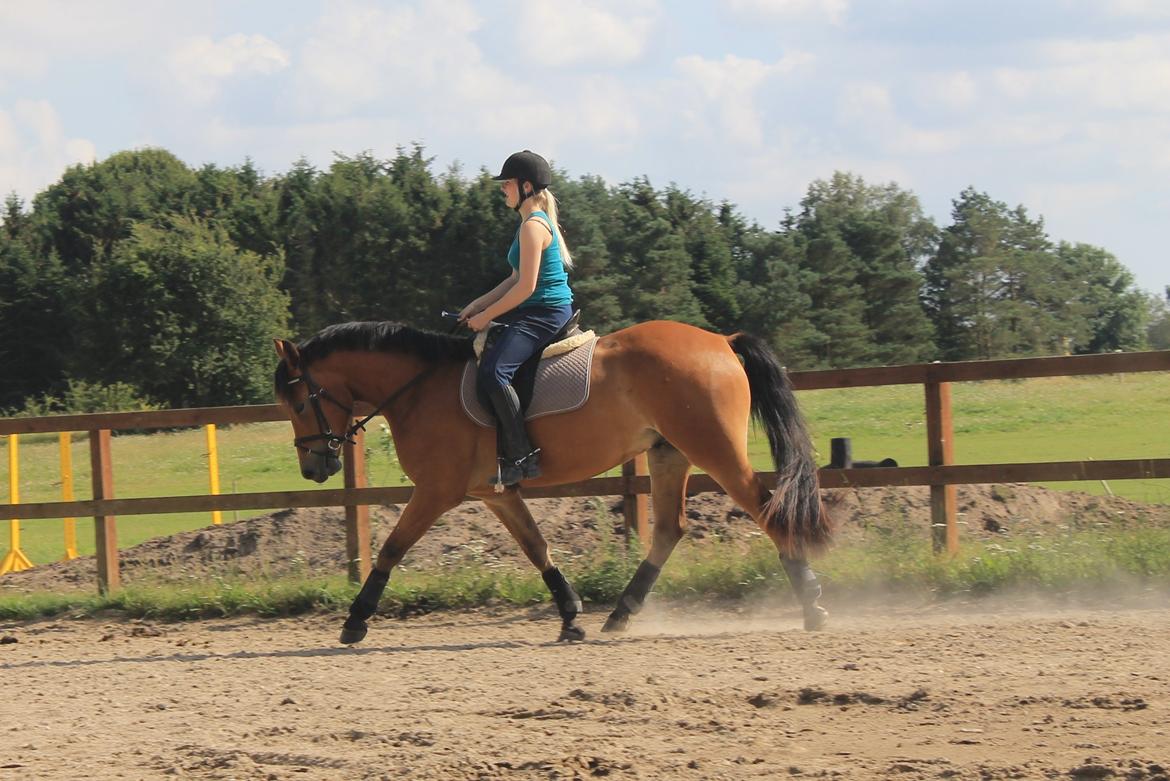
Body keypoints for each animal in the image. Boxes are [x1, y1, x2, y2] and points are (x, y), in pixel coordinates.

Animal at [271, 320, 833, 645]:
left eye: (297, 403)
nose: (313, 468)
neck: (419, 389)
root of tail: (721, 341)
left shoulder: (436, 491)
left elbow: (391, 547)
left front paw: (355, 620)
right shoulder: (494, 492)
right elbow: (537, 546)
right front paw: (571, 616)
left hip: (712, 449)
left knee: (767, 510)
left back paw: (812, 605)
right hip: (669, 453)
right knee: (670, 529)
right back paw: (620, 614)